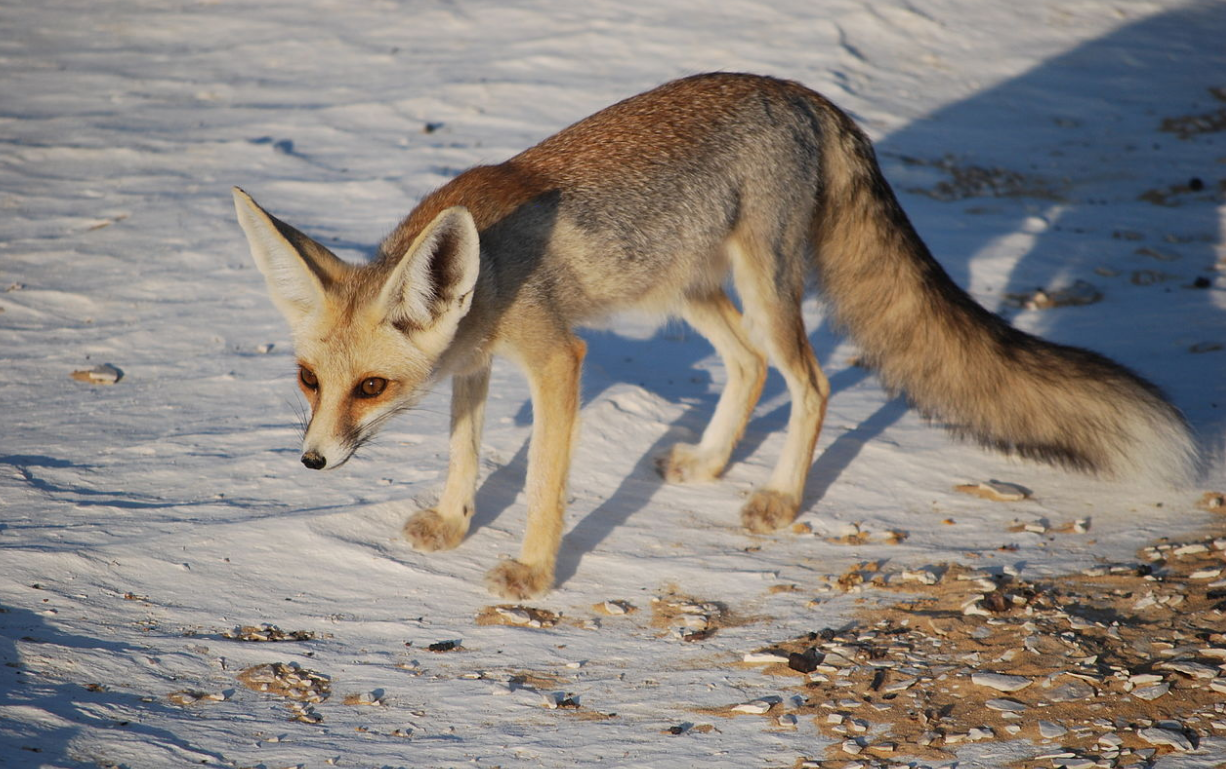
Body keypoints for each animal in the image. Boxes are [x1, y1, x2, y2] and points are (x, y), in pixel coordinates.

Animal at [234, 72, 1201, 600]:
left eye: (370, 388)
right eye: (309, 381)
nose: (312, 461)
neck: (493, 268)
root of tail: (803, 93)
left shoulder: (556, 357)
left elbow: (544, 484)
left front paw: (535, 574)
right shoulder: (475, 363)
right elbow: (464, 453)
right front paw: (452, 520)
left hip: (762, 285)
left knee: (809, 381)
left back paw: (777, 496)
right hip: (691, 291)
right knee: (748, 368)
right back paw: (707, 461)